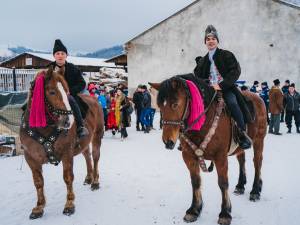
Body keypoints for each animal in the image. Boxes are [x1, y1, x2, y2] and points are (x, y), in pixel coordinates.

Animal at [19, 66, 104, 219]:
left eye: (66, 91)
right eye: (52, 91)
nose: (68, 121)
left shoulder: (66, 153)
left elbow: (68, 177)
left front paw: (69, 205)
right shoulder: (31, 158)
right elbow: (38, 182)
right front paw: (39, 207)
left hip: (97, 137)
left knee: (95, 157)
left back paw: (95, 181)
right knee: (87, 156)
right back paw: (89, 177)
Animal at [150, 74, 268, 225]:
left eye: (175, 104)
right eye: (159, 105)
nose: (168, 141)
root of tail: (258, 97)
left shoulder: (220, 157)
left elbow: (223, 183)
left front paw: (225, 213)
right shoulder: (188, 156)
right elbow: (195, 181)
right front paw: (194, 210)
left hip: (259, 140)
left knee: (257, 162)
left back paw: (255, 191)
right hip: (240, 147)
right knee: (242, 160)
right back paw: (240, 185)